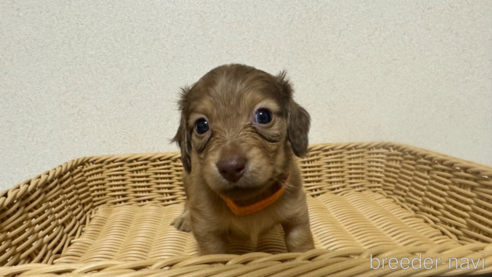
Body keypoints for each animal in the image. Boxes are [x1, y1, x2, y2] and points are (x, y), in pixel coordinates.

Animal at [171, 63, 314, 253]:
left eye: (263, 116)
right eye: (201, 126)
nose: (231, 167)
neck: (248, 202)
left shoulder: (297, 216)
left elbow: (301, 244)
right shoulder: (207, 231)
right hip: (187, 178)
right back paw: (185, 218)